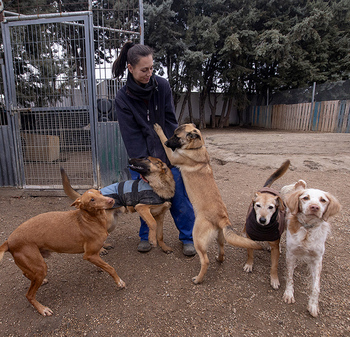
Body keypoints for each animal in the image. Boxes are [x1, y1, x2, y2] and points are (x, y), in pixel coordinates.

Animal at [154, 122, 262, 282]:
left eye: (176, 136)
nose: (169, 143)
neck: (196, 148)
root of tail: (222, 218)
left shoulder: (173, 157)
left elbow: (162, 140)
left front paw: (158, 129)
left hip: (197, 238)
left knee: (205, 261)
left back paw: (198, 279)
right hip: (220, 238)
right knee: (222, 251)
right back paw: (219, 259)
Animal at [243, 159, 290, 288]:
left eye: (271, 207)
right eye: (258, 205)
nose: (262, 220)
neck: (262, 228)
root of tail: (267, 188)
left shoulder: (275, 246)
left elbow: (274, 266)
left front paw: (274, 279)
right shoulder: (250, 239)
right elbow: (250, 255)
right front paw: (249, 265)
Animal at [282, 180, 342, 316]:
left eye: (323, 200)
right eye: (305, 198)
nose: (314, 207)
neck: (308, 228)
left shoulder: (317, 259)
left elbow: (316, 286)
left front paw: (313, 305)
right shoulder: (291, 254)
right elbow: (289, 276)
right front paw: (289, 294)